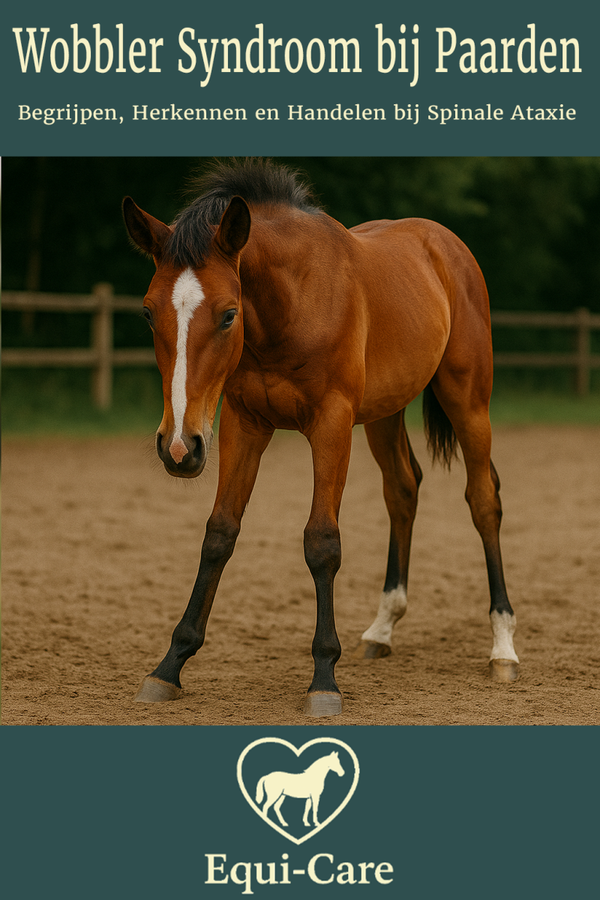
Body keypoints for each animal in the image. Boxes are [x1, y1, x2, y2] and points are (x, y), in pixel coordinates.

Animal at [122, 158, 518, 717]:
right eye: (148, 312)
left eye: (228, 314)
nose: (179, 447)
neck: (290, 304)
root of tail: (445, 244)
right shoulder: (244, 424)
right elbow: (219, 534)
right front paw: (169, 665)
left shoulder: (331, 425)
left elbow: (321, 542)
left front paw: (324, 678)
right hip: (383, 414)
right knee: (403, 489)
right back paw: (382, 628)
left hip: (468, 401)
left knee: (483, 499)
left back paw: (503, 646)